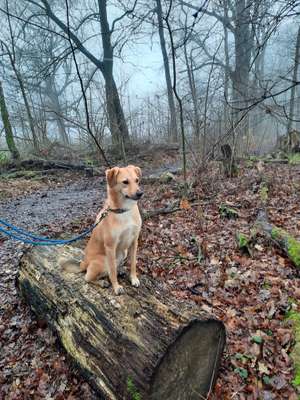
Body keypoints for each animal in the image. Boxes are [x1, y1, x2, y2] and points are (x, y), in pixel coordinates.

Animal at [62, 164, 143, 296]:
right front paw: (116, 287)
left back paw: (119, 270)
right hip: (103, 260)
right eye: (125, 182)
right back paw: (102, 282)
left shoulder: (134, 241)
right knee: (88, 277)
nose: (140, 193)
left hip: (123, 252)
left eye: (137, 180)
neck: (124, 211)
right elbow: (112, 272)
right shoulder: (110, 246)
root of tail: (83, 263)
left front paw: (134, 278)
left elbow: (133, 264)